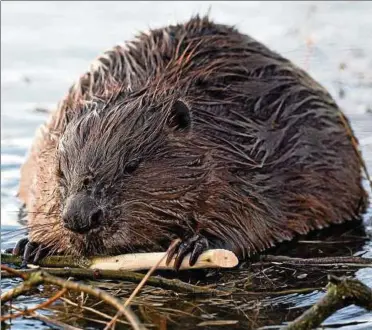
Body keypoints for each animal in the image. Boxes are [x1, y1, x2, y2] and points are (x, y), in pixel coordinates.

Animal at [11, 14, 370, 268]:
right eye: (60, 171)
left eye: (131, 166)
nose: (80, 217)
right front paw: (33, 244)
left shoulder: (252, 159)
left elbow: (252, 218)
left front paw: (193, 245)